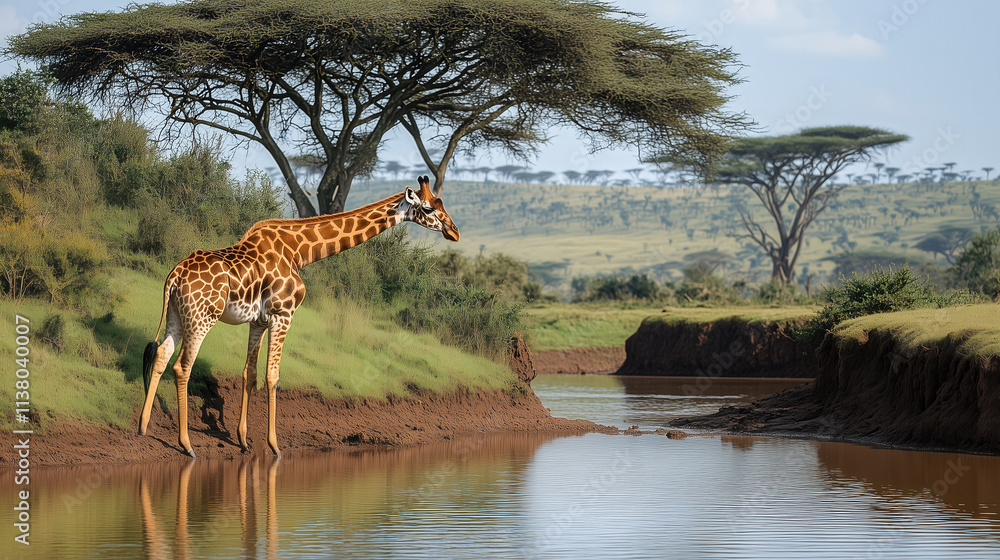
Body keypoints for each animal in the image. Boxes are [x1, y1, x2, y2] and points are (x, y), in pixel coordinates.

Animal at [138, 176, 459, 457]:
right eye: (429, 208)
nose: (454, 231)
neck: (300, 252)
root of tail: (174, 275)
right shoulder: (283, 314)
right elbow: (273, 376)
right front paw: (274, 446)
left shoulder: (259, 320)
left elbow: (249, 374)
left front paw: (243, 441)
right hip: (203, 317)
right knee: (183, 366)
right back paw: (186, 445)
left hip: (177, 316)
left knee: (162, 355)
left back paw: (143, 427)